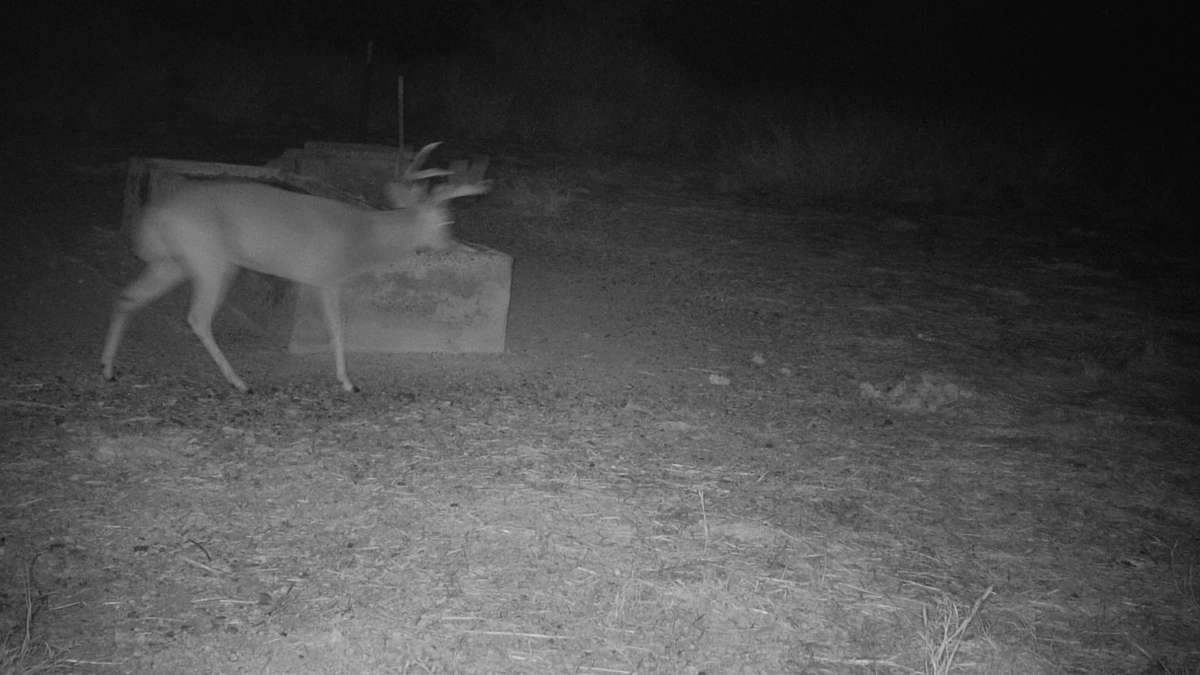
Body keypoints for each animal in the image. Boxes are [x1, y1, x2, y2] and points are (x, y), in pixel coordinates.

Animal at [101, 142, 489, 393]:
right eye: (447, 221)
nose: (454, 245)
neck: (361, 237)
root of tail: (153, 217)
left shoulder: (320, 280)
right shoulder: (327, 276)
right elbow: (337, 330)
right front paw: (348, 382)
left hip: (173, 262)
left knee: (126, 297)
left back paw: (107, 369)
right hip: (210, 259)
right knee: (197, 317)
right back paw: (239, 382)